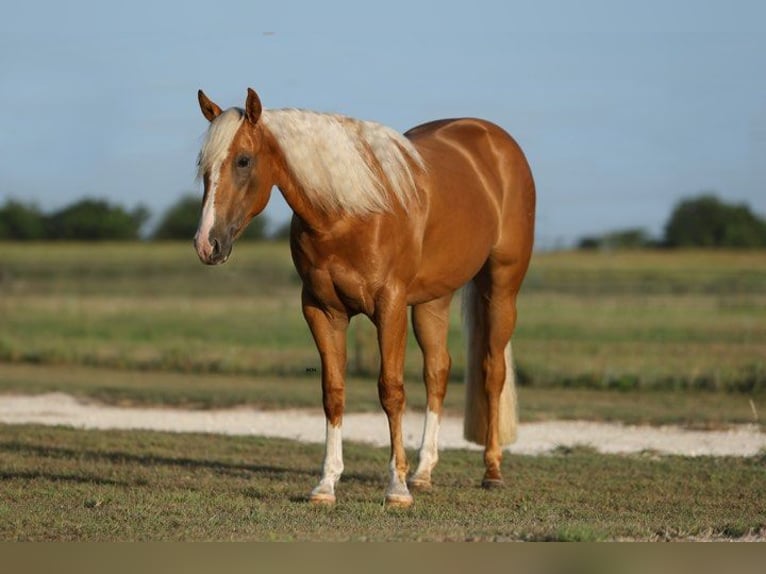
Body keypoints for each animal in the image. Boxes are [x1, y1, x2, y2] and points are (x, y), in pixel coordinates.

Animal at [195, 89, 536, 508]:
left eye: (243, 160)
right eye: (204, 165)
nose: (206, 243)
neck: (347, 213)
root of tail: (496, 142)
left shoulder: (389, 307)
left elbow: (391, 390)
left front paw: (397, 488)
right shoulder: (322, 311)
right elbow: (333, 391)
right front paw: (326, 484)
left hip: (501, 288)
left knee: (492, 372)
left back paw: (491, 471)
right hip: (433, 300)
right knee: (437, 371)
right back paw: (423, 472)